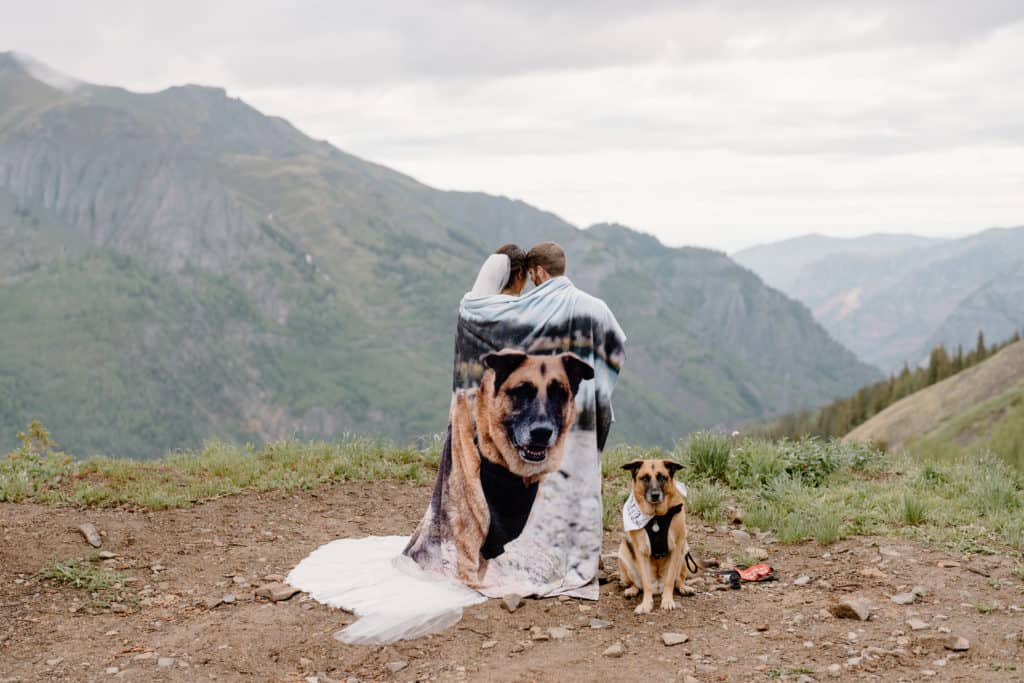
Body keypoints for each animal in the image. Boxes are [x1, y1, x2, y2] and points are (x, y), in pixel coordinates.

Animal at [614, 458, 696, 614]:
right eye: (645, 478)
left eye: (662, 477)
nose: (655, 495)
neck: (656, 516)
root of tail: (658, 587)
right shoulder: (641, 551)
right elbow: (645, 583)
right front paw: (646, 604)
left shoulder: (677, 546)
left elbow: (670, 580)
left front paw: (668, 601)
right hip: (623, 553)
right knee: (638, 584)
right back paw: (632, 590)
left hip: (684, 550)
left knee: (678, 580)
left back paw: (684, 588)